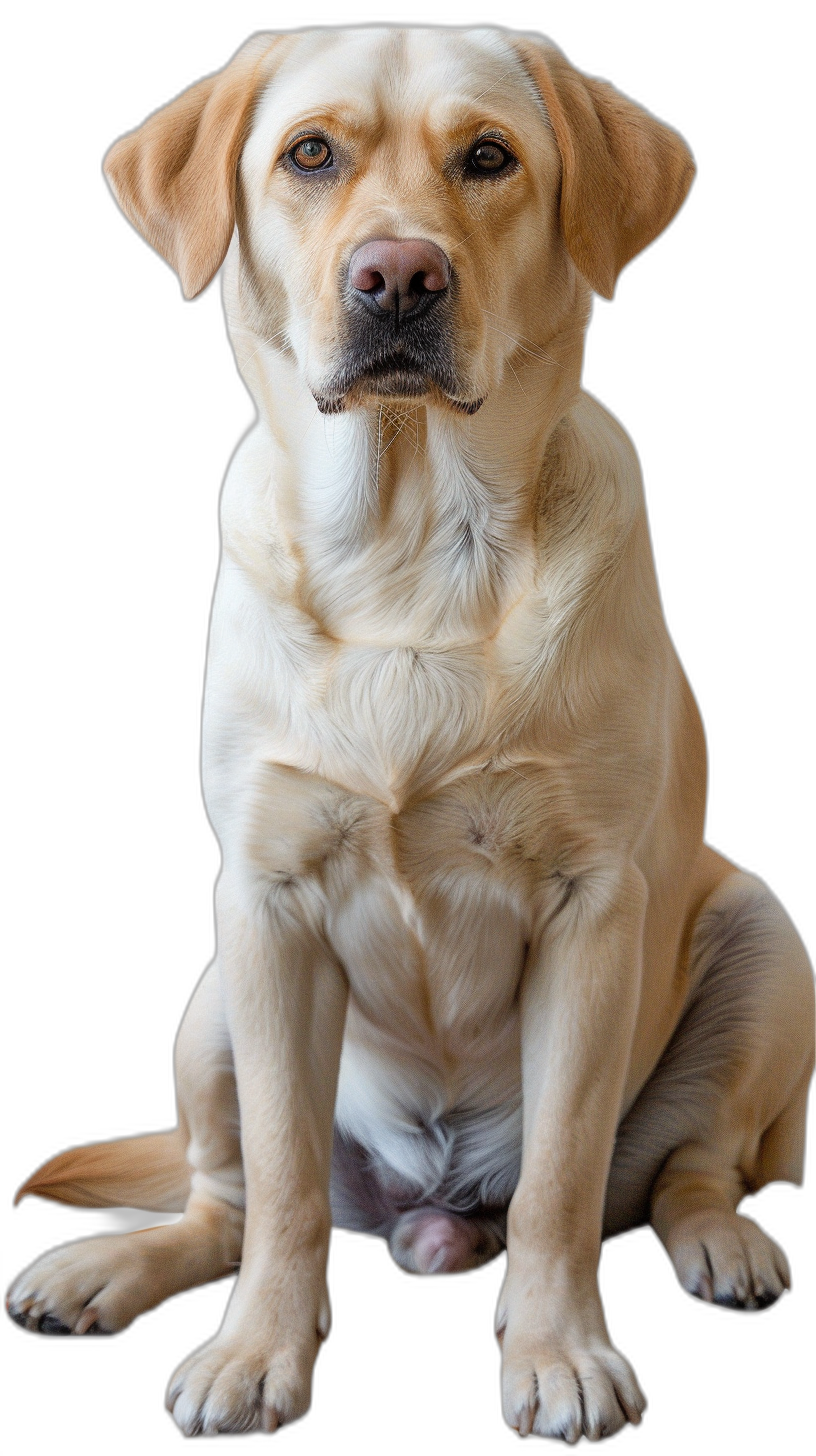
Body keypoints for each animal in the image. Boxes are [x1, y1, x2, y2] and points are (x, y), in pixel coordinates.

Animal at [7, 22, 816, 1444]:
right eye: (309, 154)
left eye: (488, 158)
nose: (398, 276)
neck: (409, 549)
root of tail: (433, 1218)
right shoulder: (265, 897)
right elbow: (281, 1179)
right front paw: (257, 1354)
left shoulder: (595, 907)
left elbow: (560, 1176)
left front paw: (559, 1355)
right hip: (212, 995)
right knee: (222, 1196)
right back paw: (107, 1270)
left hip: (768, 942)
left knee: (690, 1169)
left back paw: (724, 1245)